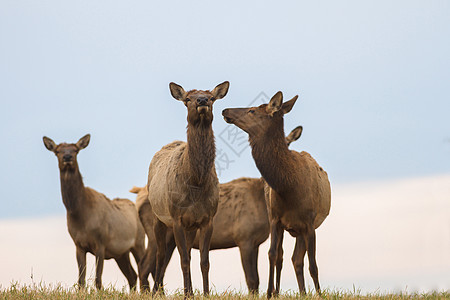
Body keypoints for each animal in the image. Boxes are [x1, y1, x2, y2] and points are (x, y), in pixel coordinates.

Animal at [42, 134, 146, 290]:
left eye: (75, 150)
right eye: (58, 151)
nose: (67, 157)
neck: (80, 214)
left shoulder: (101, 242)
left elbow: (98, 279)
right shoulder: (78, 245)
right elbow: (81, 280)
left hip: (139, 242)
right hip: (121, 253)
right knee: (133, 275)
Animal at [146, 81, 229, 296]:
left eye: (212, 97)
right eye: (187, 99)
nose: (202, 100)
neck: (196, 183)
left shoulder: (207, 219)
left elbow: (204, 261)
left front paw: (205, 293)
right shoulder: (177, 218)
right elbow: (183, 260)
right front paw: (186, 294)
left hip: (190, 227)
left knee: (188, 255)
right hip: (157, 216)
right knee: (160, 254)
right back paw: (157, 291)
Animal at [221, 92, 330, 296]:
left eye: (252, 110)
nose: (225, 110)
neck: (289, 188)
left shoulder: (309, 222)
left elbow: (313, 264)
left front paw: (320, 294)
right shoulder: (275, 219)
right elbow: (272, 255)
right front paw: (270, 292)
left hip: (303, 228)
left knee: (298, 259)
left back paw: (304, 292)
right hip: (289, 227)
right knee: (288, 258)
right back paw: (295, 292)